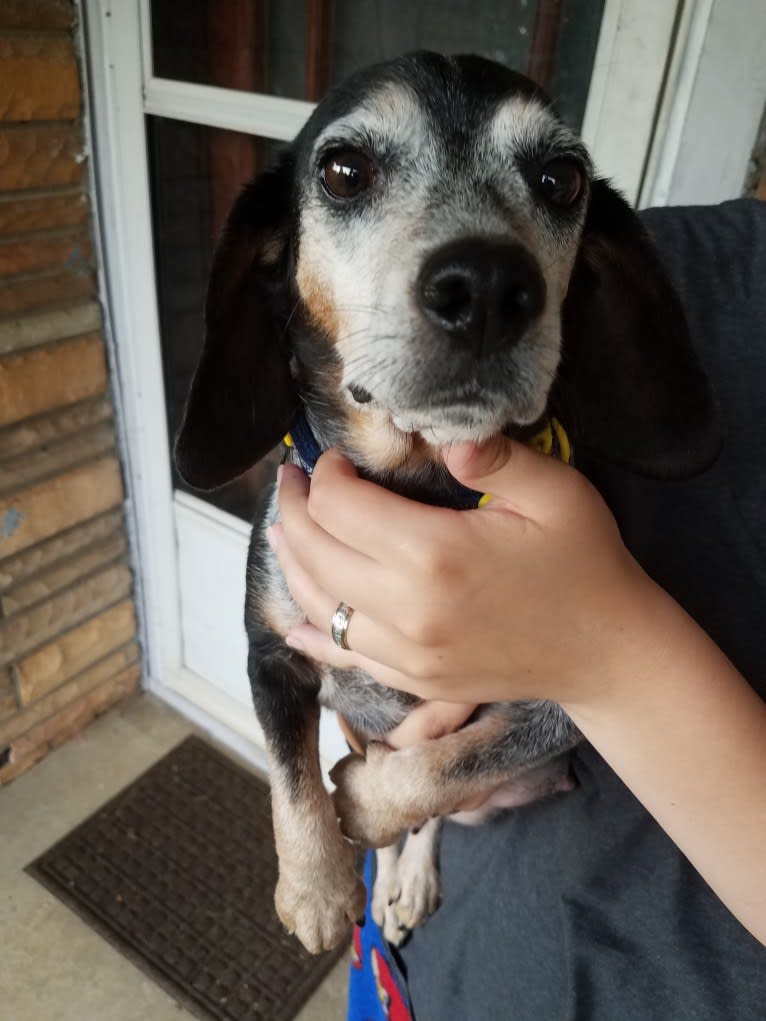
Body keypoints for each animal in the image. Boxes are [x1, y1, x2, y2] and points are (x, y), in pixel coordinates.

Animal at [173, 51, 719, 951]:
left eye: (562, 178)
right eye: (343, 171)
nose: (489, 286)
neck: (419, 487)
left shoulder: (563, 707)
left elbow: (452, 766)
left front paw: (365, 804)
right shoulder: (271, 651)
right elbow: (292, 778)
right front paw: (318, 889)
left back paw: (408, 873)